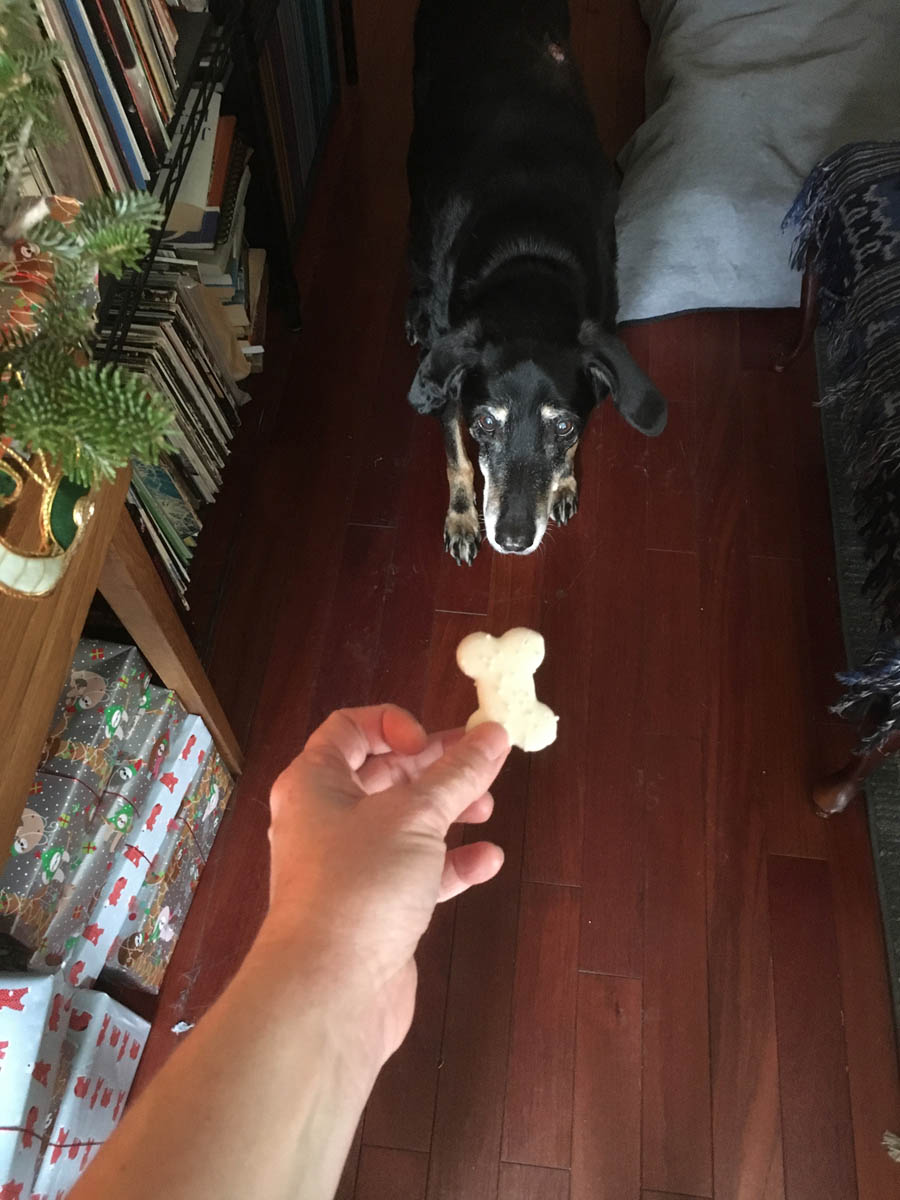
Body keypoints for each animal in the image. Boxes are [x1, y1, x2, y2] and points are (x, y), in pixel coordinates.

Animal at [408, 0, 672, 561]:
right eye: (485, 423)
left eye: (565, 426)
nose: (511, 539)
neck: (528, 253)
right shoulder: (450, 369)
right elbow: (455, 453)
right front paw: (461, 518)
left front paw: (565, 483)